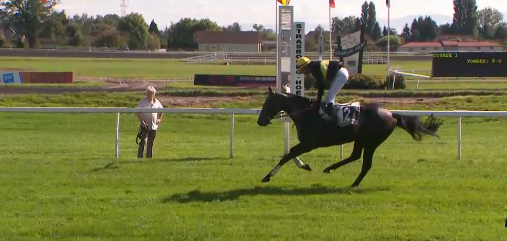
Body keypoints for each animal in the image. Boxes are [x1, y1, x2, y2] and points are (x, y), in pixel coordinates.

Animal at [256, 87, 442, 188]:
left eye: (268, 102)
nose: (260, 121)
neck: (305, 112)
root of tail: (391, 114)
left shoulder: (309, 143)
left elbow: (288, 155)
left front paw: (268, 176)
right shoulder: (307, 144)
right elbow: (289, 153)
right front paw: (304, 166)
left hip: (372, 141)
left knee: (366, 164)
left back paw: (353, 183)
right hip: (361, 139)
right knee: (355, 156)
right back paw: (331, 168)